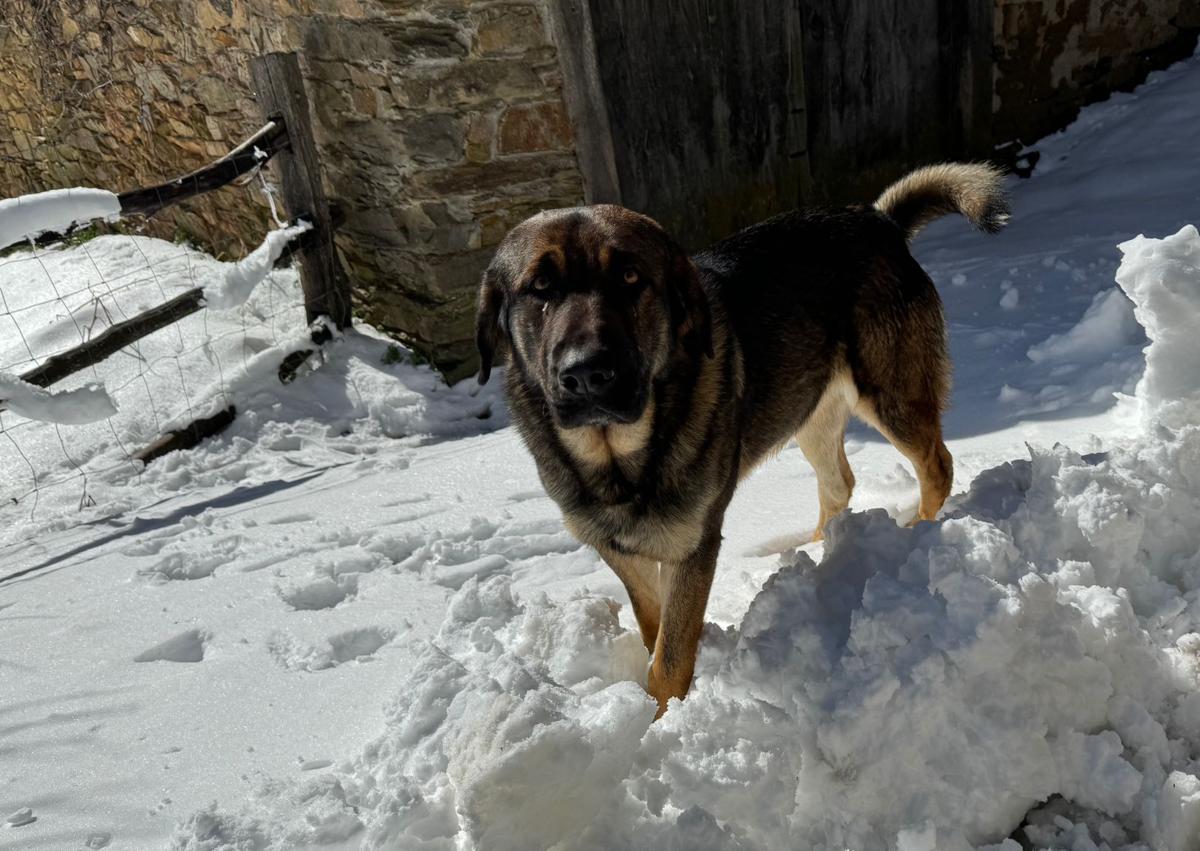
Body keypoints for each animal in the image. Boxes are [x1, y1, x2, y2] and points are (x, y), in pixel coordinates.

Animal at [472, 163, 1008, 715]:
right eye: (539, 287)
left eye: (629, 277)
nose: (587, 374)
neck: (617, 456)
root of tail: (880, 221)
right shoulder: (617, 547)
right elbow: (652, 624)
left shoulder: (693, 544)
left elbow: (671, 656)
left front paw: (663, 722)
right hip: (809, 411)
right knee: (839, 483)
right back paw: (817, 549)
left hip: (890, 392)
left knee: (936, 464)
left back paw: (918, 532)